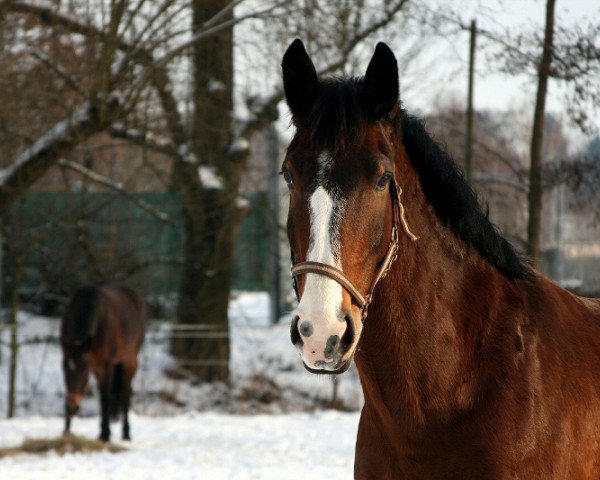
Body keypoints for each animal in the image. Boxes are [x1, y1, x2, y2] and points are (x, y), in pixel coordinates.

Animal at [60, 282, 146, 442]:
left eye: (84, 370)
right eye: (64, 368)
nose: (73, 405)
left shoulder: (106, 366)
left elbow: (105, 397)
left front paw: (105, 434)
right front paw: (66, 431)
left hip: (130, 361)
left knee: (125, 393)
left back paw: (126, 433)